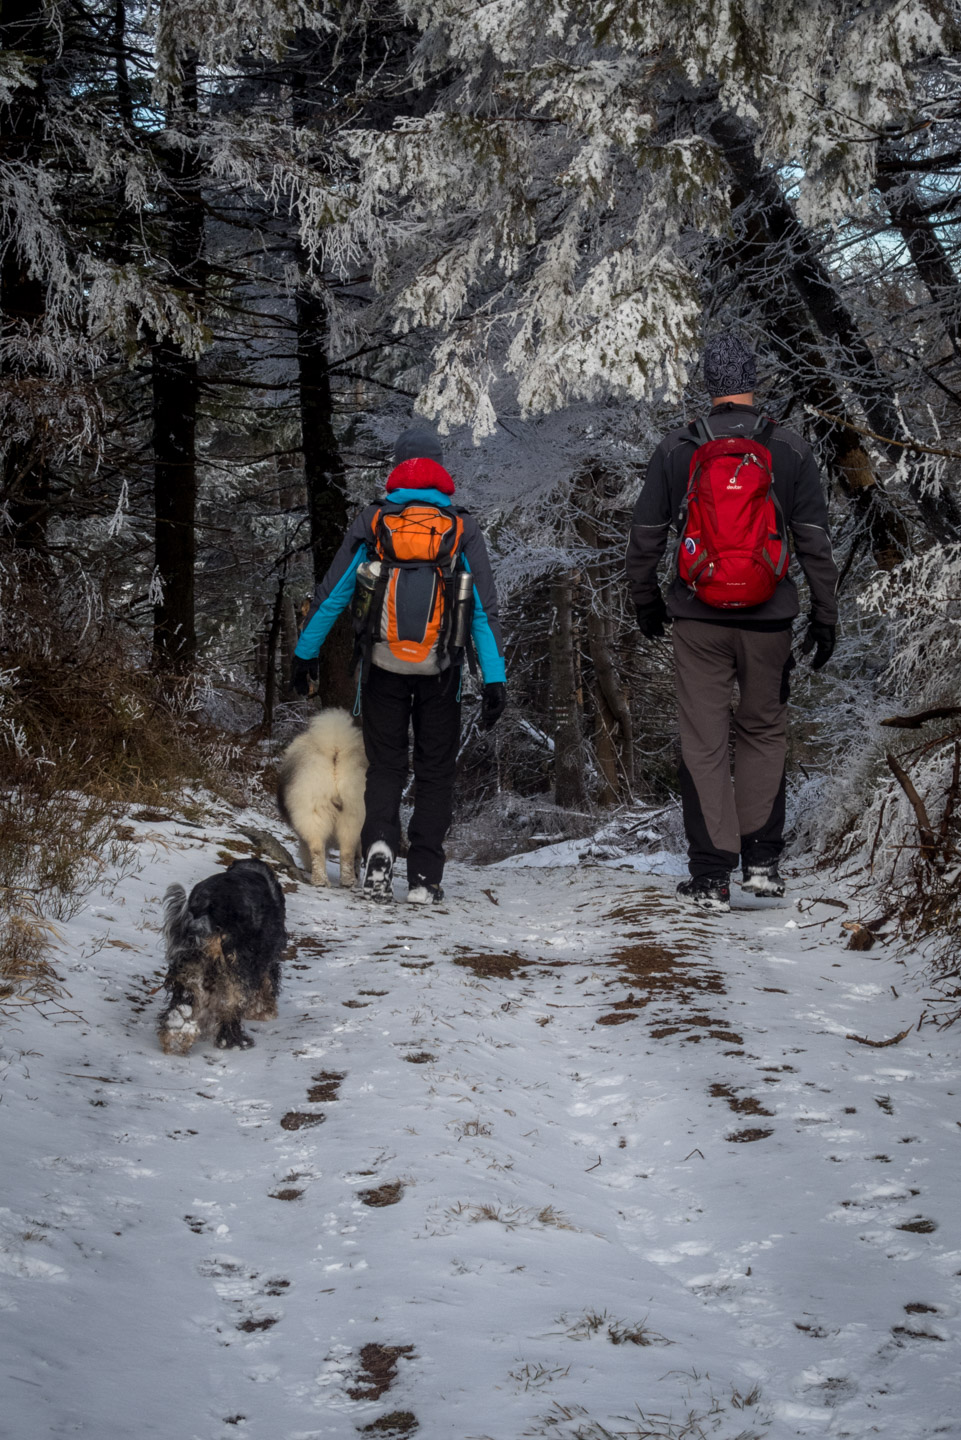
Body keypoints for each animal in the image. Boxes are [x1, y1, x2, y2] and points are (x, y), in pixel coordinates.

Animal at [156, 858, 285, 1054]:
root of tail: (206, 911)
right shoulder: (265, 957)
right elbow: (267, 983)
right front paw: (264, 1011)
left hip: (189, 967)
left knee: (182, 1005)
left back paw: (177, 1036)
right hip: (236, 969)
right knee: (231, 1006)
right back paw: (235, 1042)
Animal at [279, 705, 371, 881]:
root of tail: (335, 752)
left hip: (312, 812)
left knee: (316, 848)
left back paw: (319, 879)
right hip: (353, 816)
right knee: (347, 851)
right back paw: (348, 881)